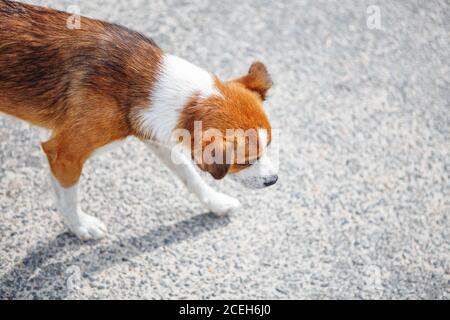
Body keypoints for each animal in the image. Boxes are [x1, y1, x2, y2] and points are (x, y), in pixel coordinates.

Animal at [0, 0, 278, 240]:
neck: (145, 81)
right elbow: (69, 198)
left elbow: (190, 177)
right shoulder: (64, 154)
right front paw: (79, 226)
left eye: (268, 147)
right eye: (245, 161)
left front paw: (216, 203)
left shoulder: (155, 132)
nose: (274, 180)